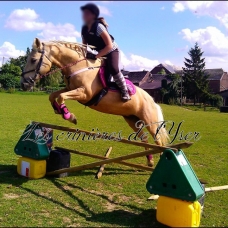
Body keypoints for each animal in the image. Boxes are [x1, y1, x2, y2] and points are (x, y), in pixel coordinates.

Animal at [20, 38, 169, 167]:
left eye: (33, 60)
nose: (24, 84)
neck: (78, 66)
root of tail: (152, 101)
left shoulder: (84, 93)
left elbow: (61, 96)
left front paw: (69, 116)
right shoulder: (70, 89)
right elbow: (53, 96)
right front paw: (59, 110)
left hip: (150, 121)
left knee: (158, 141)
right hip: (132, 119)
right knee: (144, 138)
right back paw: (150, 161)